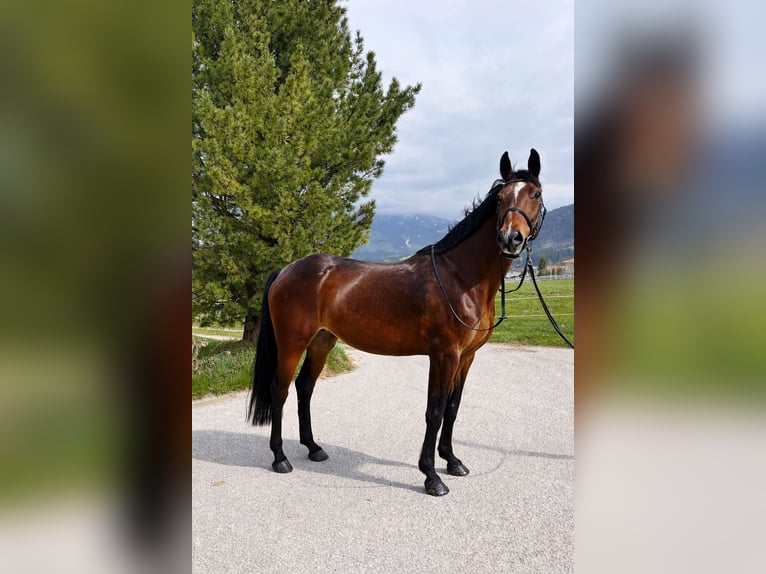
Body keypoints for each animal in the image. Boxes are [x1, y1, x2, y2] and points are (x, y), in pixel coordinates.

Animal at [247, 149, 546, 496]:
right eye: (499, 199)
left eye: (535, 194)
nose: (510, 238)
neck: (460, 277)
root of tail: (286, 270)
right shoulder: (444, 355)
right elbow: (434, 411)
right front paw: (431, 476)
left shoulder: (466, 357)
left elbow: (453, 408)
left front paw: (452, 461)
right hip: (292, 343)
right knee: (279, 389)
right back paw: (280, 458)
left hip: (322, 341)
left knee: (304, 387)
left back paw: (313, 448)